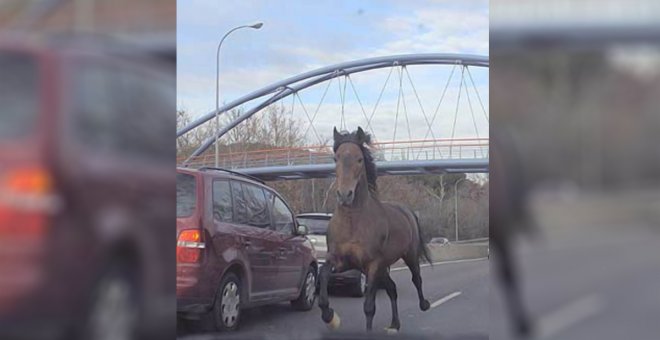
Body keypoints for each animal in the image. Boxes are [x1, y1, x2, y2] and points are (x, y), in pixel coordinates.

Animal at [318, 127, 434, 332]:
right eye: (335, 158)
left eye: (359, 159)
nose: (345, 195)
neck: (353, 222)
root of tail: (406, 210)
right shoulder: (342, 261)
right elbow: (323, 275)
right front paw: (330, 316)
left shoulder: (372, 265)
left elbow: (369, 307)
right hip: (383, 269)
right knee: (392, 289)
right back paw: (395, 324)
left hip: (408, 255)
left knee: (416, 279)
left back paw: (424, 304)